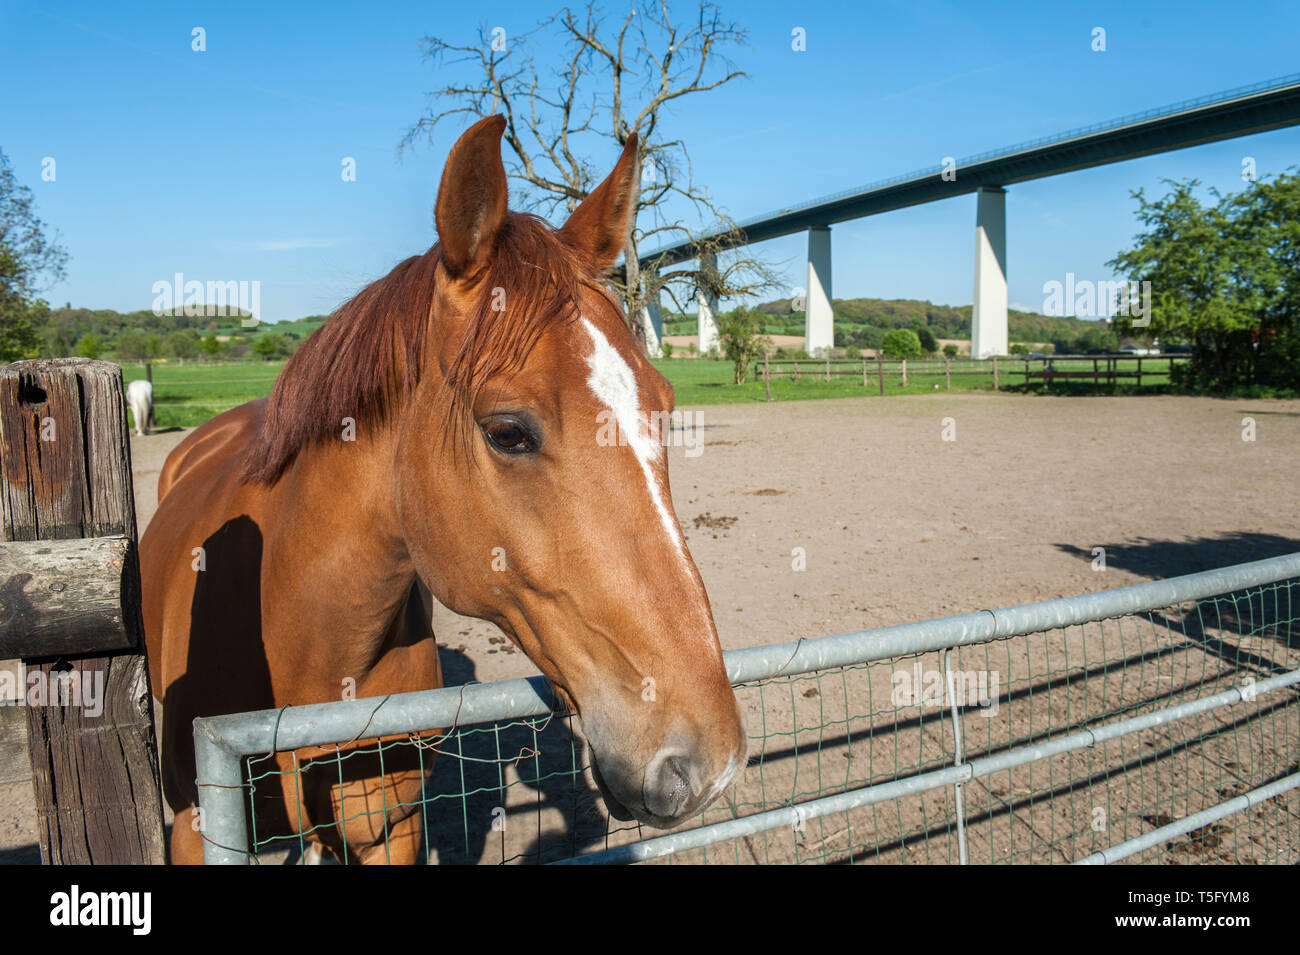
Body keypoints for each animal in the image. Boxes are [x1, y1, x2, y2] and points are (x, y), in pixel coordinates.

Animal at [137, 115, 748, 862]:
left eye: (664, 406)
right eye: (507, 431)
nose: (709, 760)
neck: (300, 639)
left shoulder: (390, 831)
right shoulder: (194, 827)